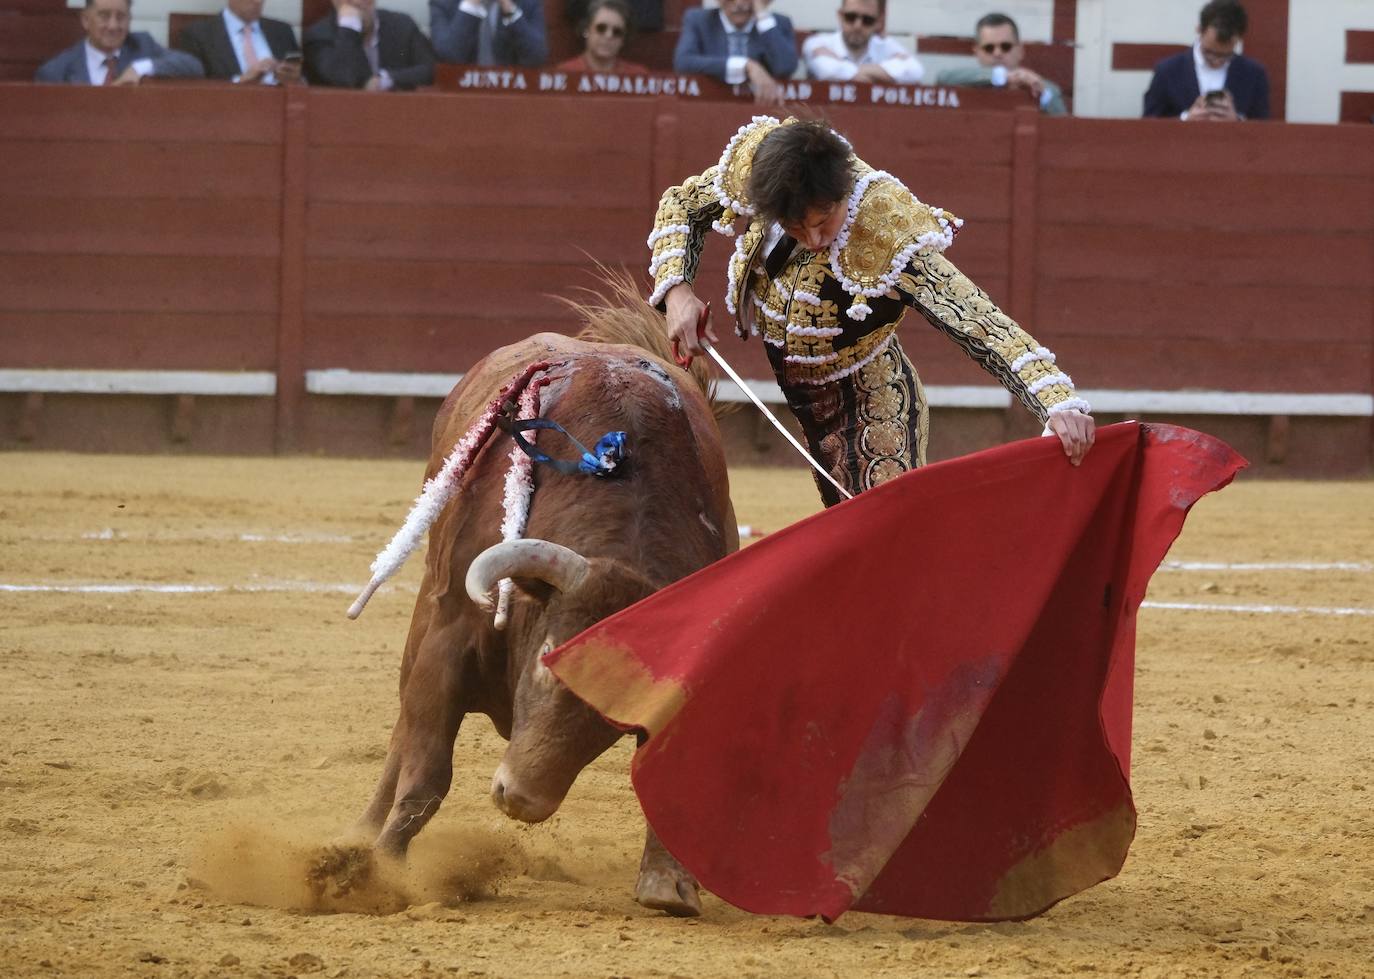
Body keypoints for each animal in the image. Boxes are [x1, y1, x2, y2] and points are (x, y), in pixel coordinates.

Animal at [354, 280, 741, 917]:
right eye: (545, 660)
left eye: (617, 715)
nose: (520, 800)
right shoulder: (447, 638)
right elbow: (426, 773)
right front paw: (375, 872)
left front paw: (669, 884)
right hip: (427, 605)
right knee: (402, 735)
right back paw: (361, 834)